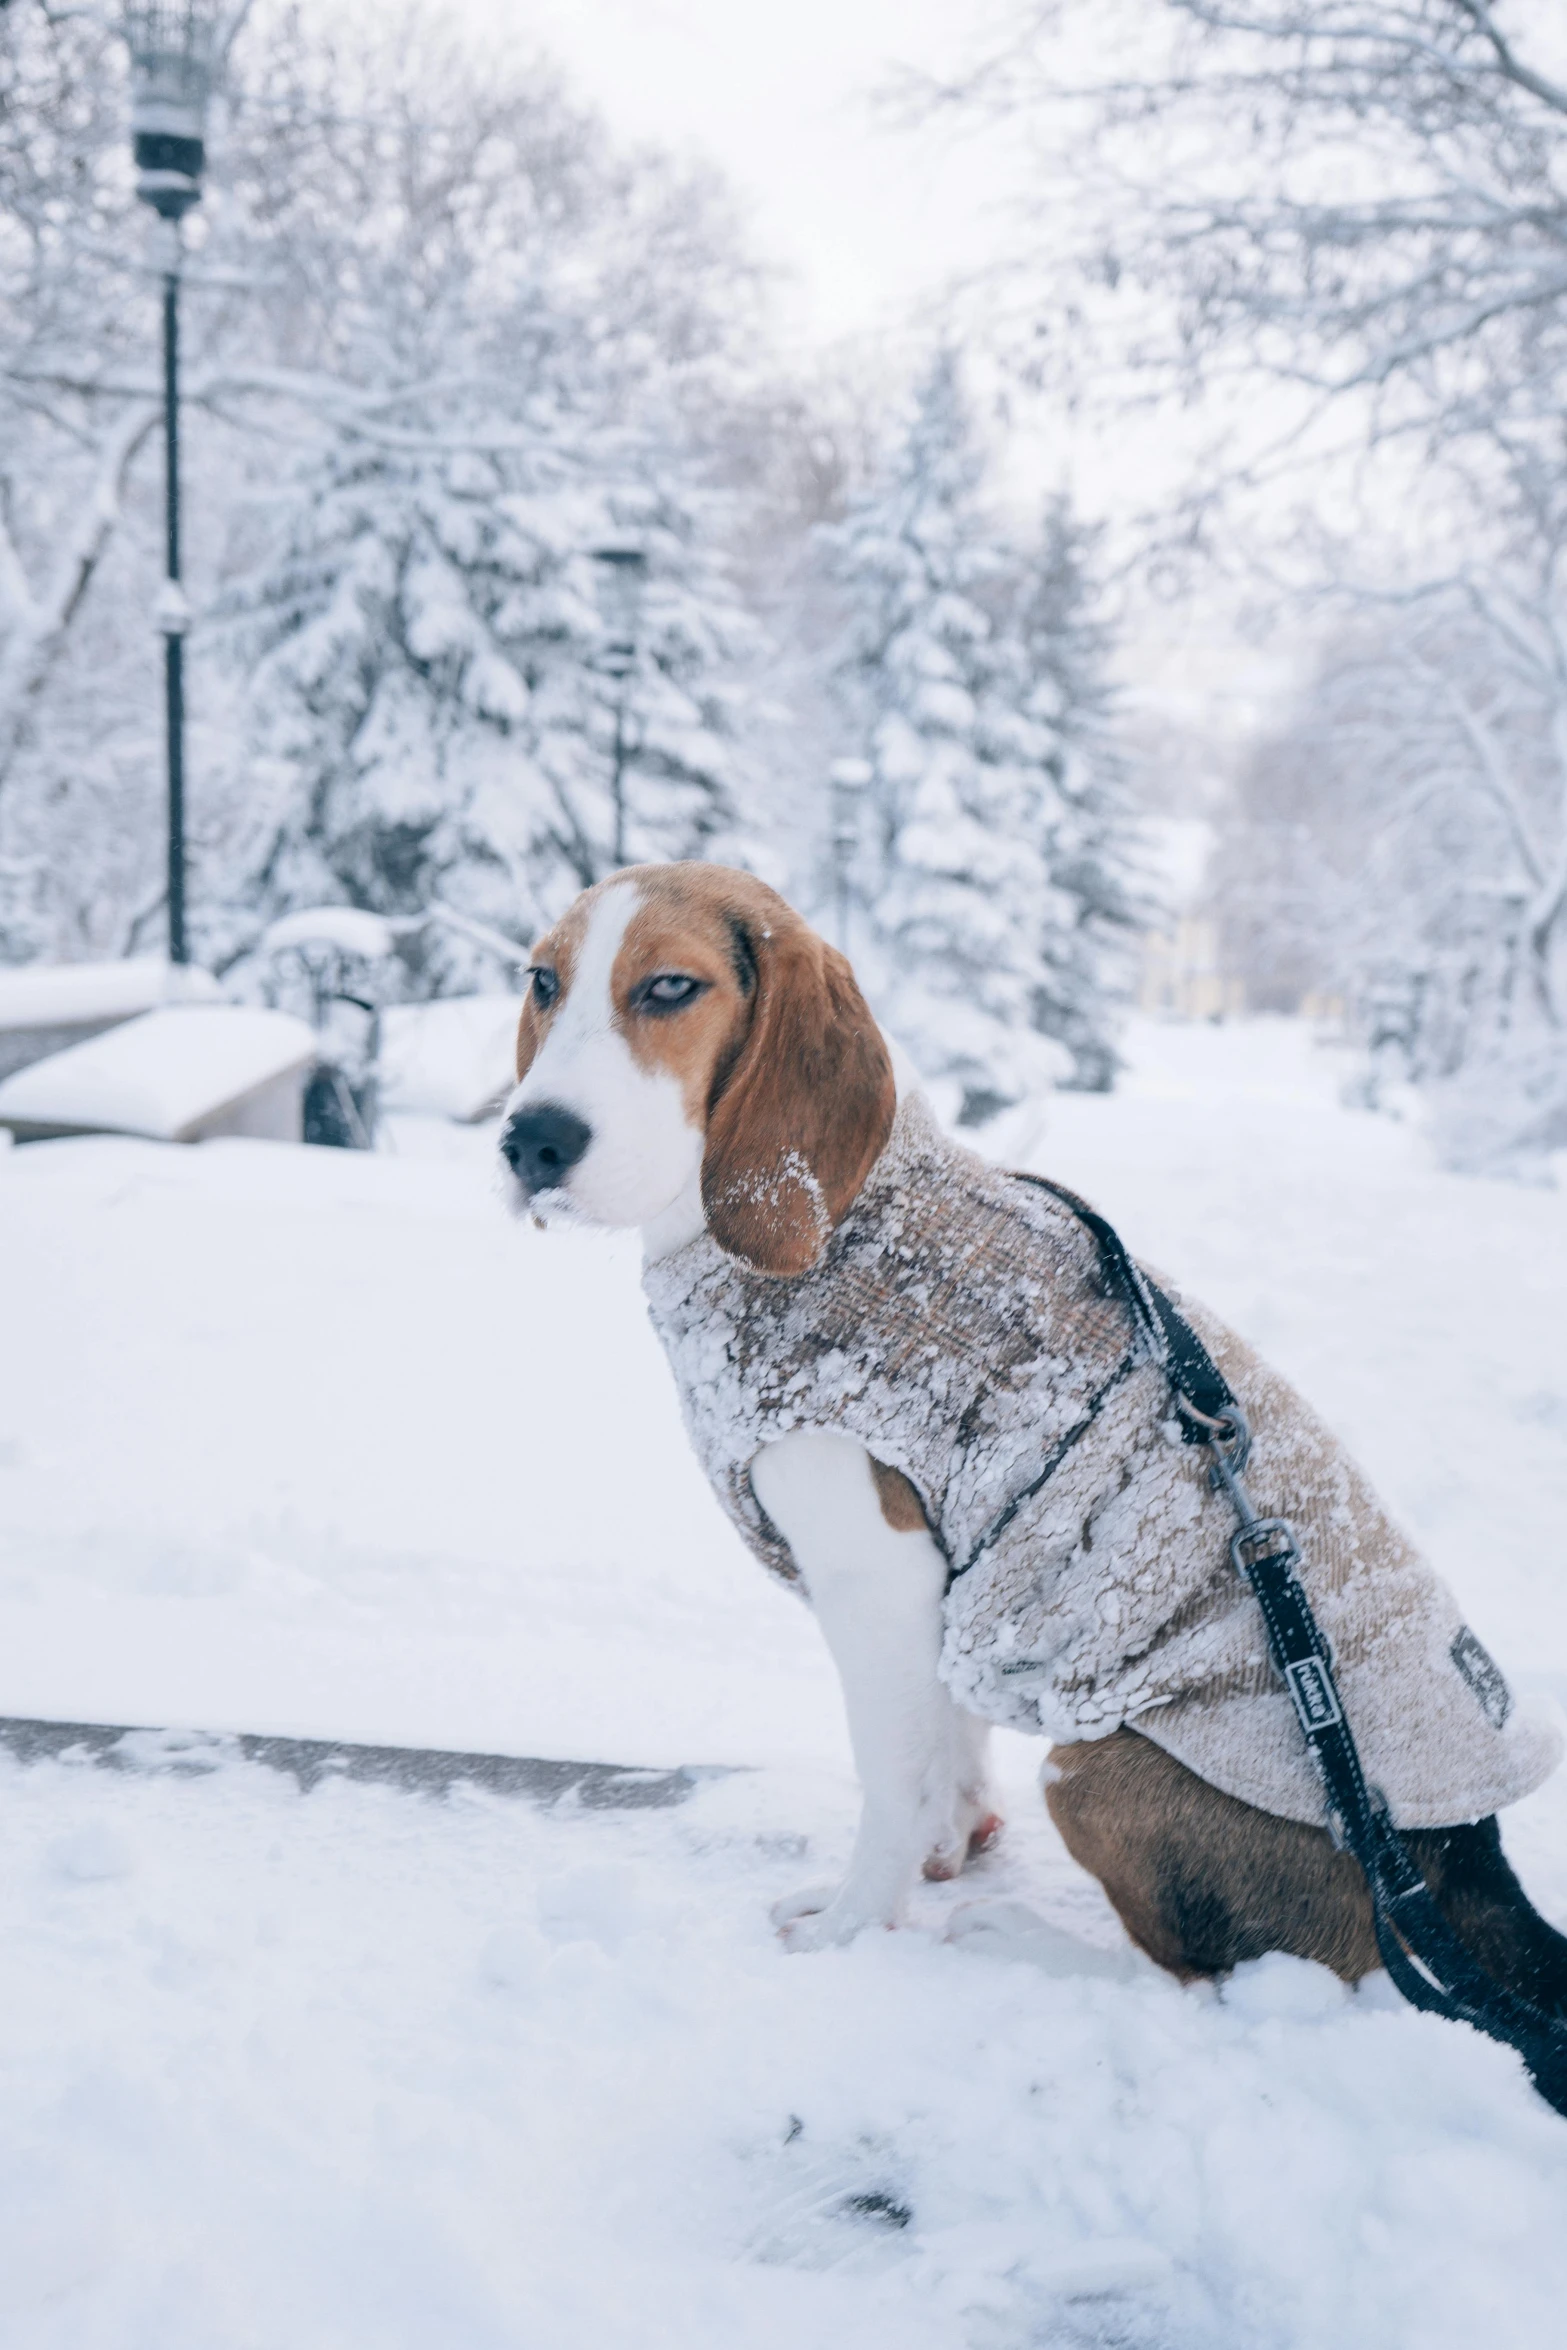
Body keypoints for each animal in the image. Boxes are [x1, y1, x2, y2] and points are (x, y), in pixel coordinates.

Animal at [495, 855, 1567, 1992]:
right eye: (542, 982)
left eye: (669, 987)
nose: (530, 1139)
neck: (833, 1217)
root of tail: (1463, 1862)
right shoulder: (950, 1581)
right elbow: (946, 1741)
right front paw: (953, 1841)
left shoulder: (876, 1574)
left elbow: (890, 1776)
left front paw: (850, 1927)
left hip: (1093, 1764)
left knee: (1195, 1980)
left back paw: (1020, 1939)